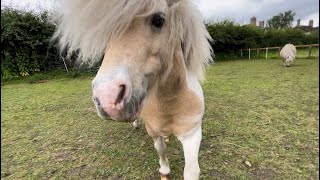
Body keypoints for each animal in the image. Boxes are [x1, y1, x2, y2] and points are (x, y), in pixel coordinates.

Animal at [52, 0, 212, 179]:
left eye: (159, 20)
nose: (107, 98)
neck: (169, 103)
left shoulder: (192, 134)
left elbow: (191, 170)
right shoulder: (152, 130)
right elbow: (160, 149)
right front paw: (164, 170)